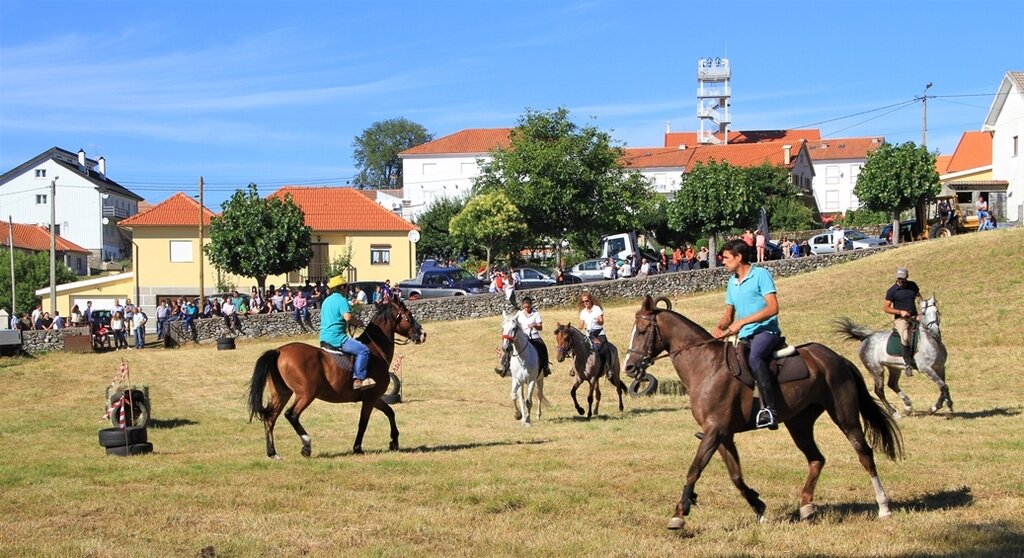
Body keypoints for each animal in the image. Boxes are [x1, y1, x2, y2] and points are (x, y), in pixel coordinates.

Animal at [247, 294, 423, 456]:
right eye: (409, 316)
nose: (422, 334)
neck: (375, 350)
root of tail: (279, 351)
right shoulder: (370, 399)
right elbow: (363, 423)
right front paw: (357, 448)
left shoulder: (375, 398)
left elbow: (390, 412)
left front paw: (394, 441)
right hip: (306, 394)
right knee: (291, 415)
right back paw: (306, 445)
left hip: (282, 394)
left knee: (270, 418)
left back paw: (272, 453)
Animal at [618, 292, 901, 528]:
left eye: (642, 330)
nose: (629, 367)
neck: (705, 366)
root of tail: (837, 358)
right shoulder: (722, 435)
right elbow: (736, 476)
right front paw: (759, 506)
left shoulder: (714, 431)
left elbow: (694, 470)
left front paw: (679, 513)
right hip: (799, 423)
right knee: (816, 459)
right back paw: (806, 506)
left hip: (844, 415)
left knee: (864, 453)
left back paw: (883, 506)